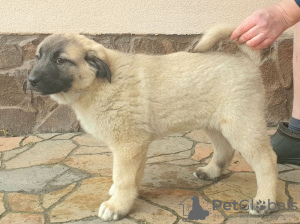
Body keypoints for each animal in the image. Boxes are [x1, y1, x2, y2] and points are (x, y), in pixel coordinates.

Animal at [27, 24, 276, 220]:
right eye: (38, 56)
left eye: (60, 60)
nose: (30, 80)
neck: (98, 83)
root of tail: (245, 60)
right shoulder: (136, 145)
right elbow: (132, 176)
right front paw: (127, 196)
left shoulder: (128, 144)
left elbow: (123, 177)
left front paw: (117, 206)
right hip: (215, 123)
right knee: (225, 149)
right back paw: (211, 172)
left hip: (241, 124)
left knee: (266, 160)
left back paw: (264, 202)